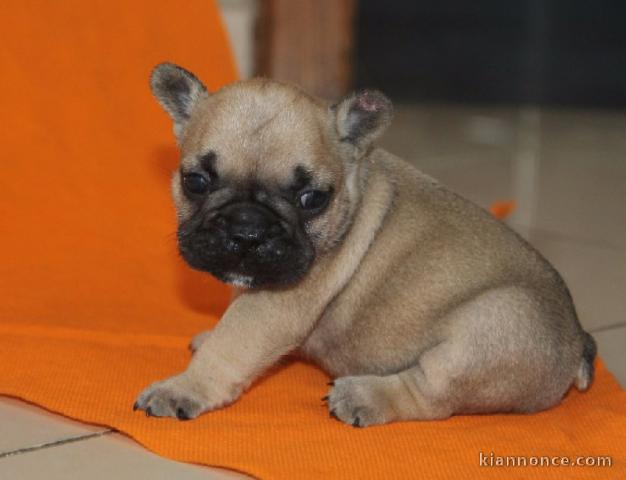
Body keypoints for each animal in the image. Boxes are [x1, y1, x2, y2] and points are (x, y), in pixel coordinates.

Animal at [133, 62, 596, 428]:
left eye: (312, 199)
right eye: (195, 181)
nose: (248, 228)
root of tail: (578, 345)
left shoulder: (273, 306)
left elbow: (231, 345)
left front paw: (183, 388)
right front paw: (210, 334)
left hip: (486, 329)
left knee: (432, 394)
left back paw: (362, 396)